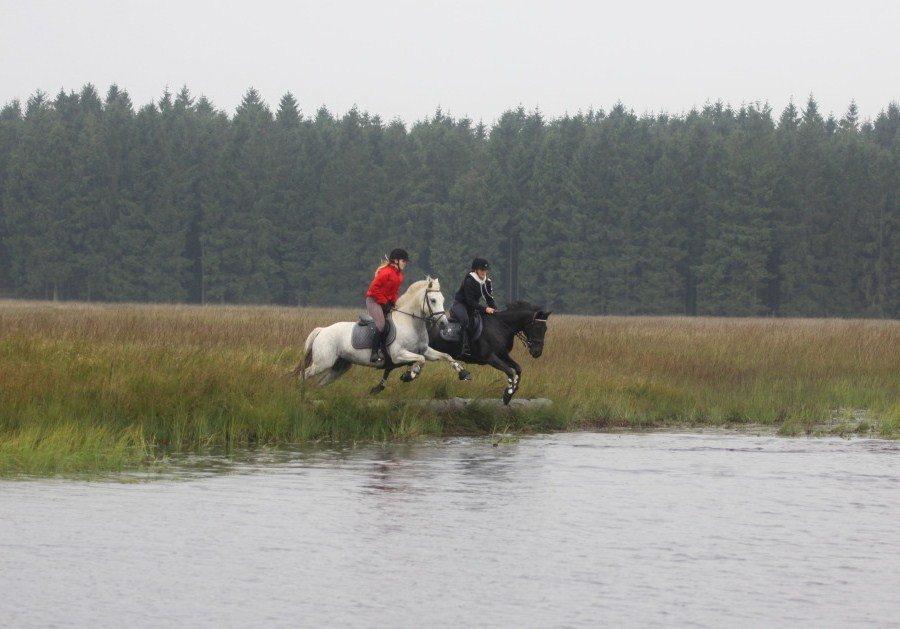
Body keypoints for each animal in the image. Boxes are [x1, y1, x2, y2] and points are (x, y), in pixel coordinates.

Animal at [296, 276, 472, 386]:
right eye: (433, 300)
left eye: (442, 299)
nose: (443, 323)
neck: (410, 323)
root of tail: (322, 330)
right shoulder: (398, 354)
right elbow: (420, 360)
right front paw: (410, 374)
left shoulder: (425, 350)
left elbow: (445, 356)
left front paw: (462, 372)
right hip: (323, 362)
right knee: (304, 374)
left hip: (340, 366)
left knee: (320, 382)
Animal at [370, 302, 552, 404]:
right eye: (537, 327)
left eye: (545, 329)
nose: (537, 352)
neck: (501, 325)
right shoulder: (491, 358)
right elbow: (510, 371)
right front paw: (508, 393)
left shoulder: (503, 355)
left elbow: (518, 369)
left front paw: (511, 392)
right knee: (392, 364)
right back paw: (385, 383)